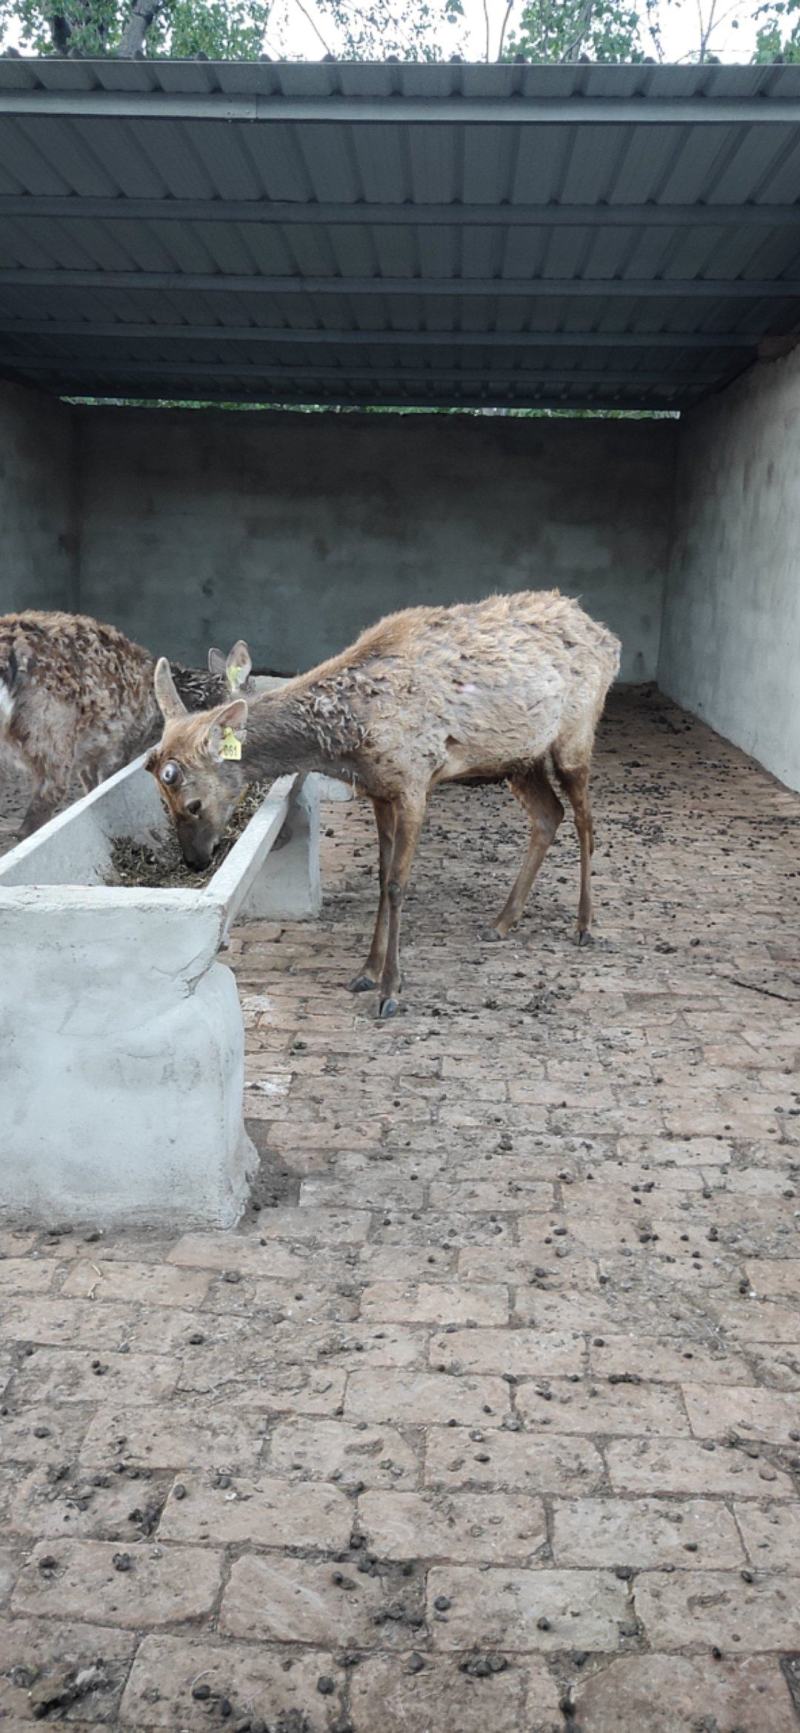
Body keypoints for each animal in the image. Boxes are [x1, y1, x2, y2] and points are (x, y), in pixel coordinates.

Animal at [0, 609, 253, 839]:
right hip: (51, 729)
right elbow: (104, 783)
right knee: (47, 795)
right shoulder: (119, 744)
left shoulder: (93, 748)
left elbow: (90, 786)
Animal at [147, 590, 621, 1018]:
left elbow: (396, 883)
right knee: (549, 814)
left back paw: (584, 924)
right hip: (520, 758)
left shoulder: (415, 779)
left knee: (585, 821)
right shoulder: (378, 790)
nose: (194, 861)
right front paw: (366, 972)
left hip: (576, 735)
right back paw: (502, 921)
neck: (352, 738)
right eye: (161, 797)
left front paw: (391, 989)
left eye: (192, 802)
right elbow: (380, 875)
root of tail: (608, 639)